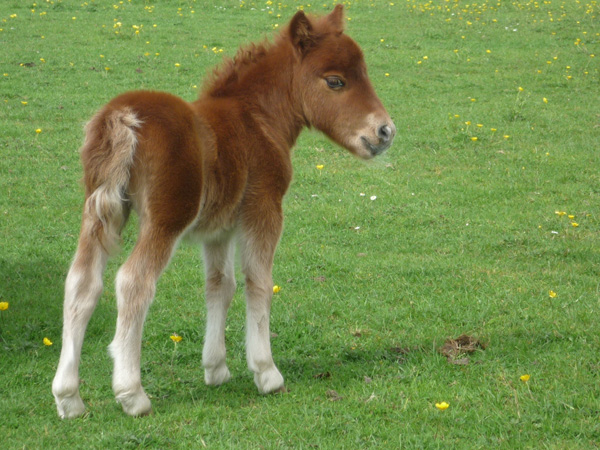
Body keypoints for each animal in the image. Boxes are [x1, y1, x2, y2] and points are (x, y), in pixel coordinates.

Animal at [51, 4, 396, 418]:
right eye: (335, 81)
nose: (385, 132)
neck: (257, 118)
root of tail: (120, 118)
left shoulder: (218, 230)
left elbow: (220, 285)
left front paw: (215, 368)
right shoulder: (264, 209)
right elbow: (258, 283)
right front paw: (266, 372)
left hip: (99, 214)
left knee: (82, 283)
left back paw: (68, 397)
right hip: (164, 220)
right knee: (133, 282)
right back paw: (131, 393)